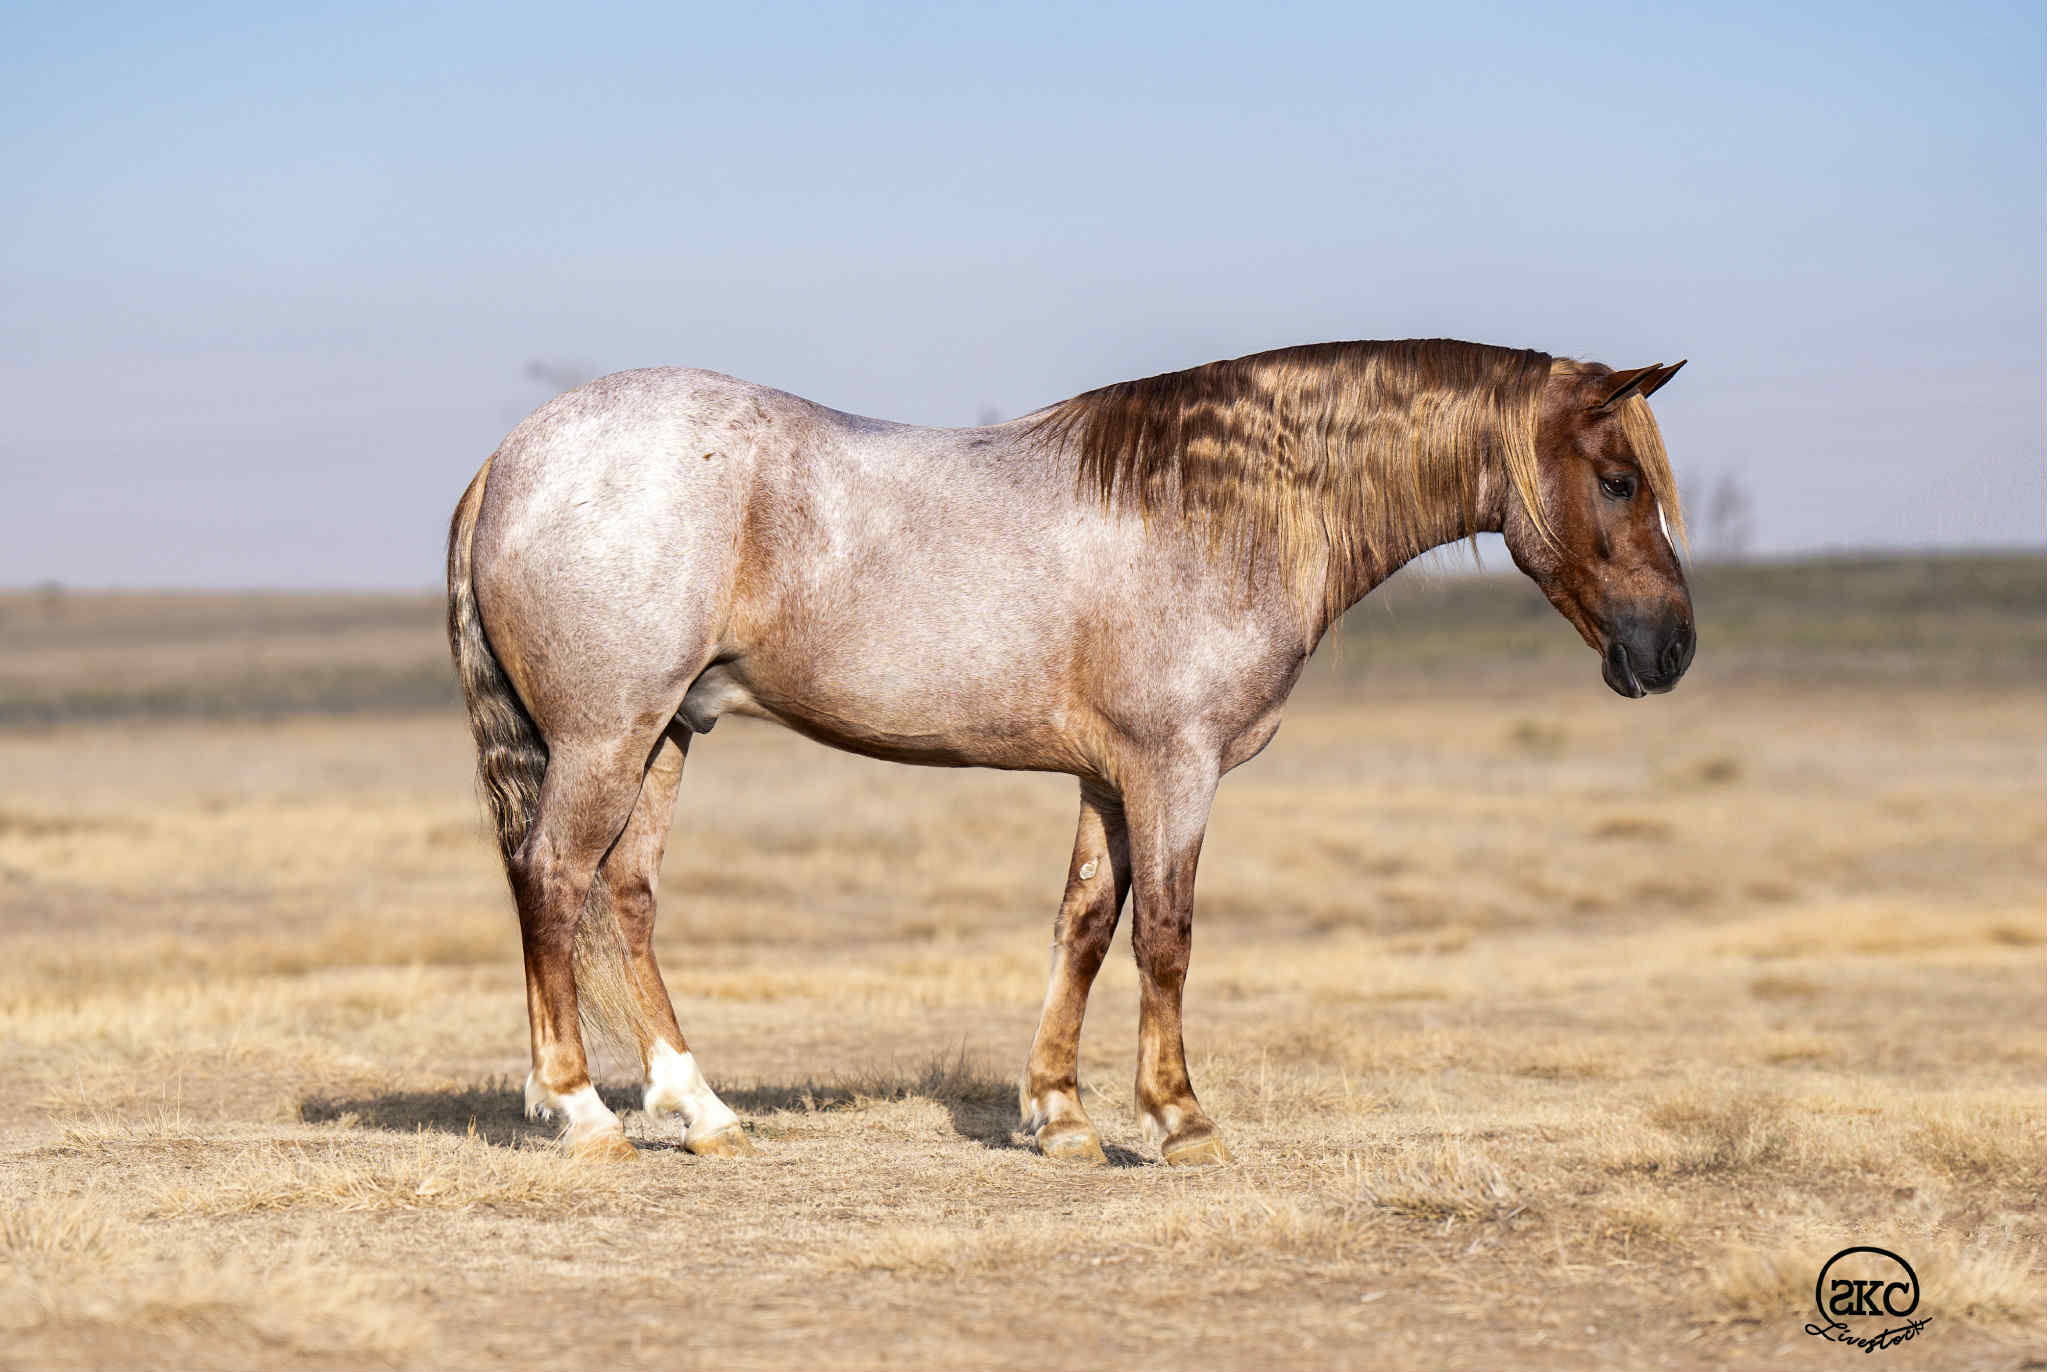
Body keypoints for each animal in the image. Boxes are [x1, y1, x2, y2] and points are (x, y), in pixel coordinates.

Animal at [445, 338, 1694, 1167]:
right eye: (1619, 479)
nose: (1671, 647)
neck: (1216, 512)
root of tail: (510, 455)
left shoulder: (1106, 777)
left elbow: (1084, 926)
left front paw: (1060, 1116)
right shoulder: (1173, 768)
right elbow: (1166, 938)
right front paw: (1180, 1119)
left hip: (664, 734)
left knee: (625, 896)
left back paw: (700, 1112)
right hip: (607, 736)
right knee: (553, 878)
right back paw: (583, 1111)